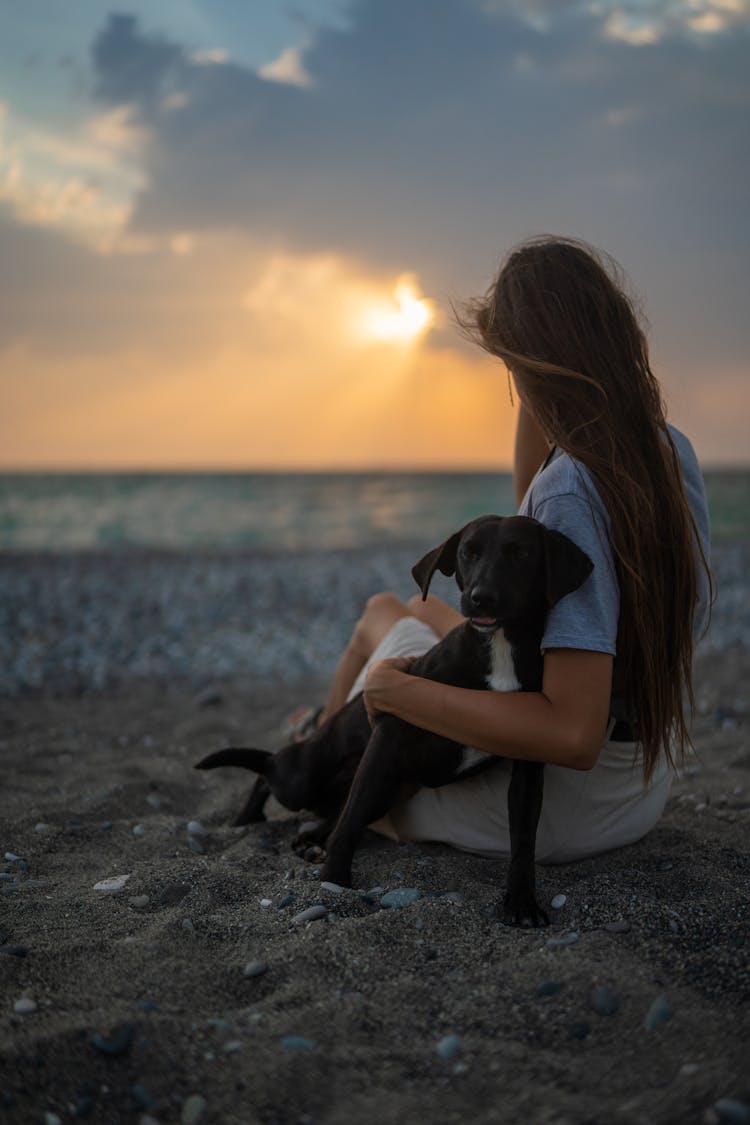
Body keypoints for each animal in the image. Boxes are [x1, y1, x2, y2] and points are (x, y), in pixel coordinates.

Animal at [197, 515, 593, 927]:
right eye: (468, 553)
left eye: (520, 553)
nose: (481, 597)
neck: (498, 647)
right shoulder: (389, 732)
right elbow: (350, 822)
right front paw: (334, 881)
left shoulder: (531, 759)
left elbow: (524, 840)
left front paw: (522, 902)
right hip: (306, 779)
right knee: (276, 774)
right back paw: (251, 816)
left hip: (380, 791)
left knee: (334, 807)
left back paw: (312, 839)